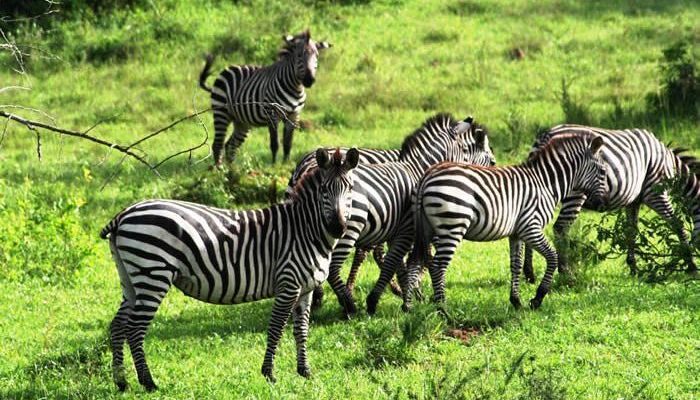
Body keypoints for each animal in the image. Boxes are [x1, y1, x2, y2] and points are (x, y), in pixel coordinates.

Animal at [98, 148, 358, 390]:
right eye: (324, 190)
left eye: (350, 189)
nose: (338, 228)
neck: (305, 230)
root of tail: (124, 214)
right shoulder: (288, 284)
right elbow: (276, 329)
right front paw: (269, 374)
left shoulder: (306, 289)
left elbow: (302, 330)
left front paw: (305, 371)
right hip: (153, 274)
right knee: (134, 328)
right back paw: (148, 382)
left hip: (131, 278)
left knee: (118, 325)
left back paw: (121, 382)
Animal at [198, 30, 332, 166]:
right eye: (299, 55)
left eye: (317, 56)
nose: (309, 80)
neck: (295, 87)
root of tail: (227, 69)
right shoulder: (272, 114)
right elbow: (275, 143)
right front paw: (274, 165)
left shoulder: (294, 115)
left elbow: (288, 143)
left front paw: (286, 163)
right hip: (221, 112)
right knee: (218, 144)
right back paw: (219, 169)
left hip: (242, 121)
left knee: (231, 144)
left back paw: (231, 168)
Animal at [408, 131, 608, 310]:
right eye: (603, 171)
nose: (602, 204)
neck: (545, 184)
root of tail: (428, 174)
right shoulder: (531, 227)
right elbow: (553, 256)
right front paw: (538, 297)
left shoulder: (517, 233)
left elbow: (516, 265)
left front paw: (516, 301)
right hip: (452, 226)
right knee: (438, 266)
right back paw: (443, 309)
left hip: (427, 230)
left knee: (415, 262)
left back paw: (409, 307)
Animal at [524, 125, 696, 282]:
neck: (671, 165)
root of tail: (546, 135)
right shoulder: (656, 192)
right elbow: (678, 224)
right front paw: (691, 264)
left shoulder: (633, 202)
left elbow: (631, 231)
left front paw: (633, 268)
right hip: (575, 193)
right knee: (561, 227)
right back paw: (565, 273)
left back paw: (530, 274)